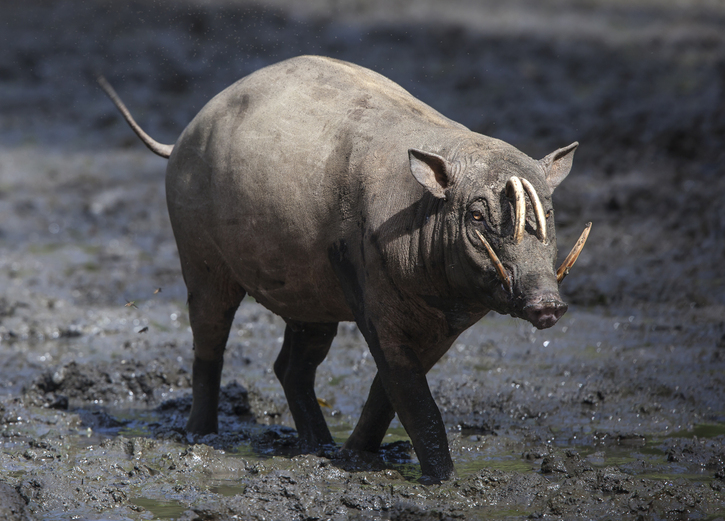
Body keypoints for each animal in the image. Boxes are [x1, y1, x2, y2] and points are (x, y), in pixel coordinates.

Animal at [99, 54, 592, 482]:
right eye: (475, 216)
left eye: (548, 211)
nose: (547, 305)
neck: (421, 214)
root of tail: (181, 136)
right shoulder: (373, 300)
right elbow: (411, 395)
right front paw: (444, 480)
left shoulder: (445, 325)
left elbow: (388, 391)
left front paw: (355, 456)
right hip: (201, 260)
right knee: (209, 343)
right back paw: (199, 435)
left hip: (308, 297)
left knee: (291, 367)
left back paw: (318, 447)